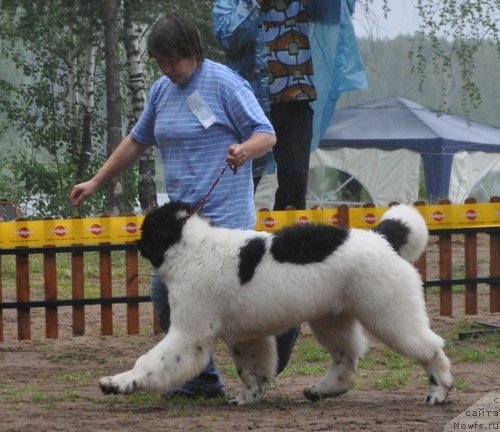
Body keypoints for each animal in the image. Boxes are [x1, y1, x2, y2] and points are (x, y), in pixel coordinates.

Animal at [99, 202, 456, 404]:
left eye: (146, 229)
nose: (133, 239)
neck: (190, 247)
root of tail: (382, 236)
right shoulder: (246, 335)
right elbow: (254, 367)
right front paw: (250, 397)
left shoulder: (188, 333)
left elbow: (151, 361)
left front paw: (118, 383)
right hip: (332, 318)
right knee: (346, 358)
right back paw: (321, 390)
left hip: (389, 312)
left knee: (430, 348)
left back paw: (438, 390)